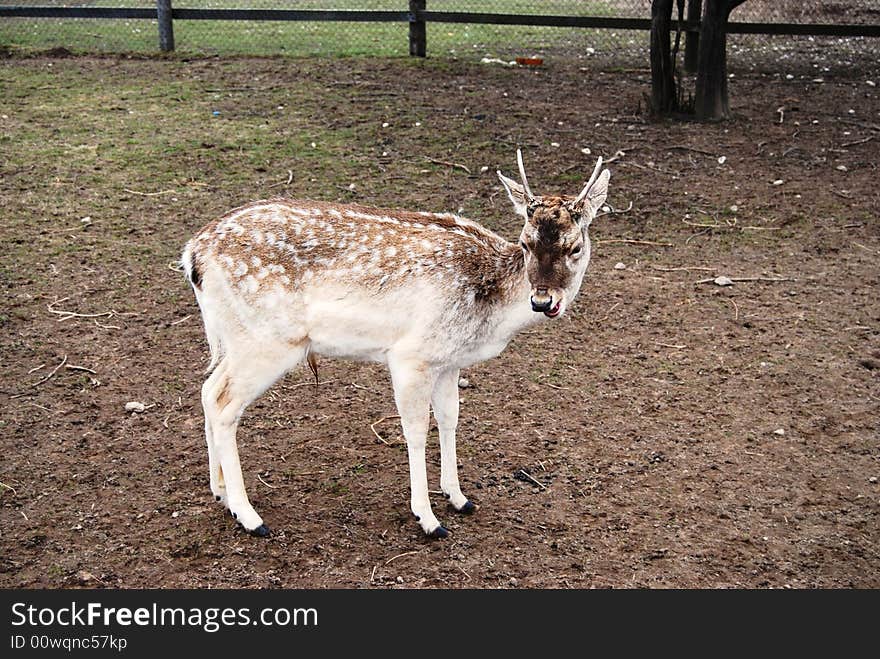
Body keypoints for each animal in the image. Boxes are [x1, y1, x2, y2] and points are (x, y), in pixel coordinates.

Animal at [182, 152, 608, 540]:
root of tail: (192, 256)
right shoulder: (411, 355)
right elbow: (416, 430)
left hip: (235, 339)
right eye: (525, 243)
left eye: (575, 247)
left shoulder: (448, 360)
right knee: (223, 404)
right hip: (267, 340)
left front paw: (458, 497)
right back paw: (249, 516)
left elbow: (450, 418)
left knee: (207, 390)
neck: (489, 311)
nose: (543, 300)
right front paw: (428, 519)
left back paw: (220, 492)